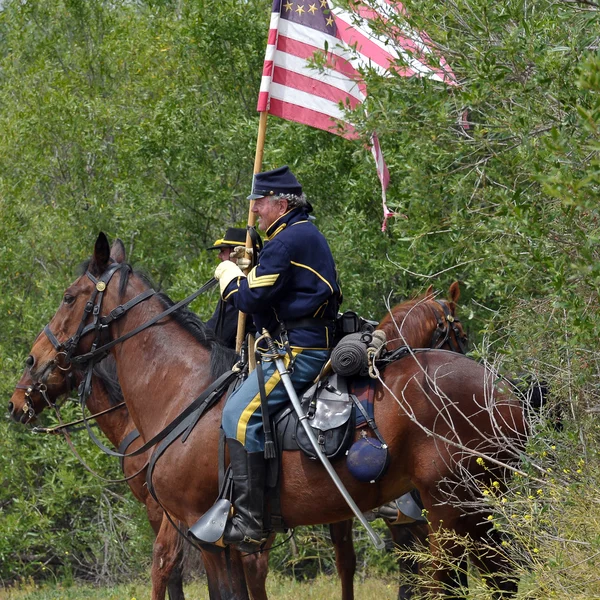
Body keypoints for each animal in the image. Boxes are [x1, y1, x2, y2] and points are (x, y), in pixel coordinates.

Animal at [8, 233, 524, 596]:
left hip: (451, 506)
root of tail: (503, 390)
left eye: (69, 297)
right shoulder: (219, 539)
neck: (181, 395)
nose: (26, 378)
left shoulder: (206, 534)